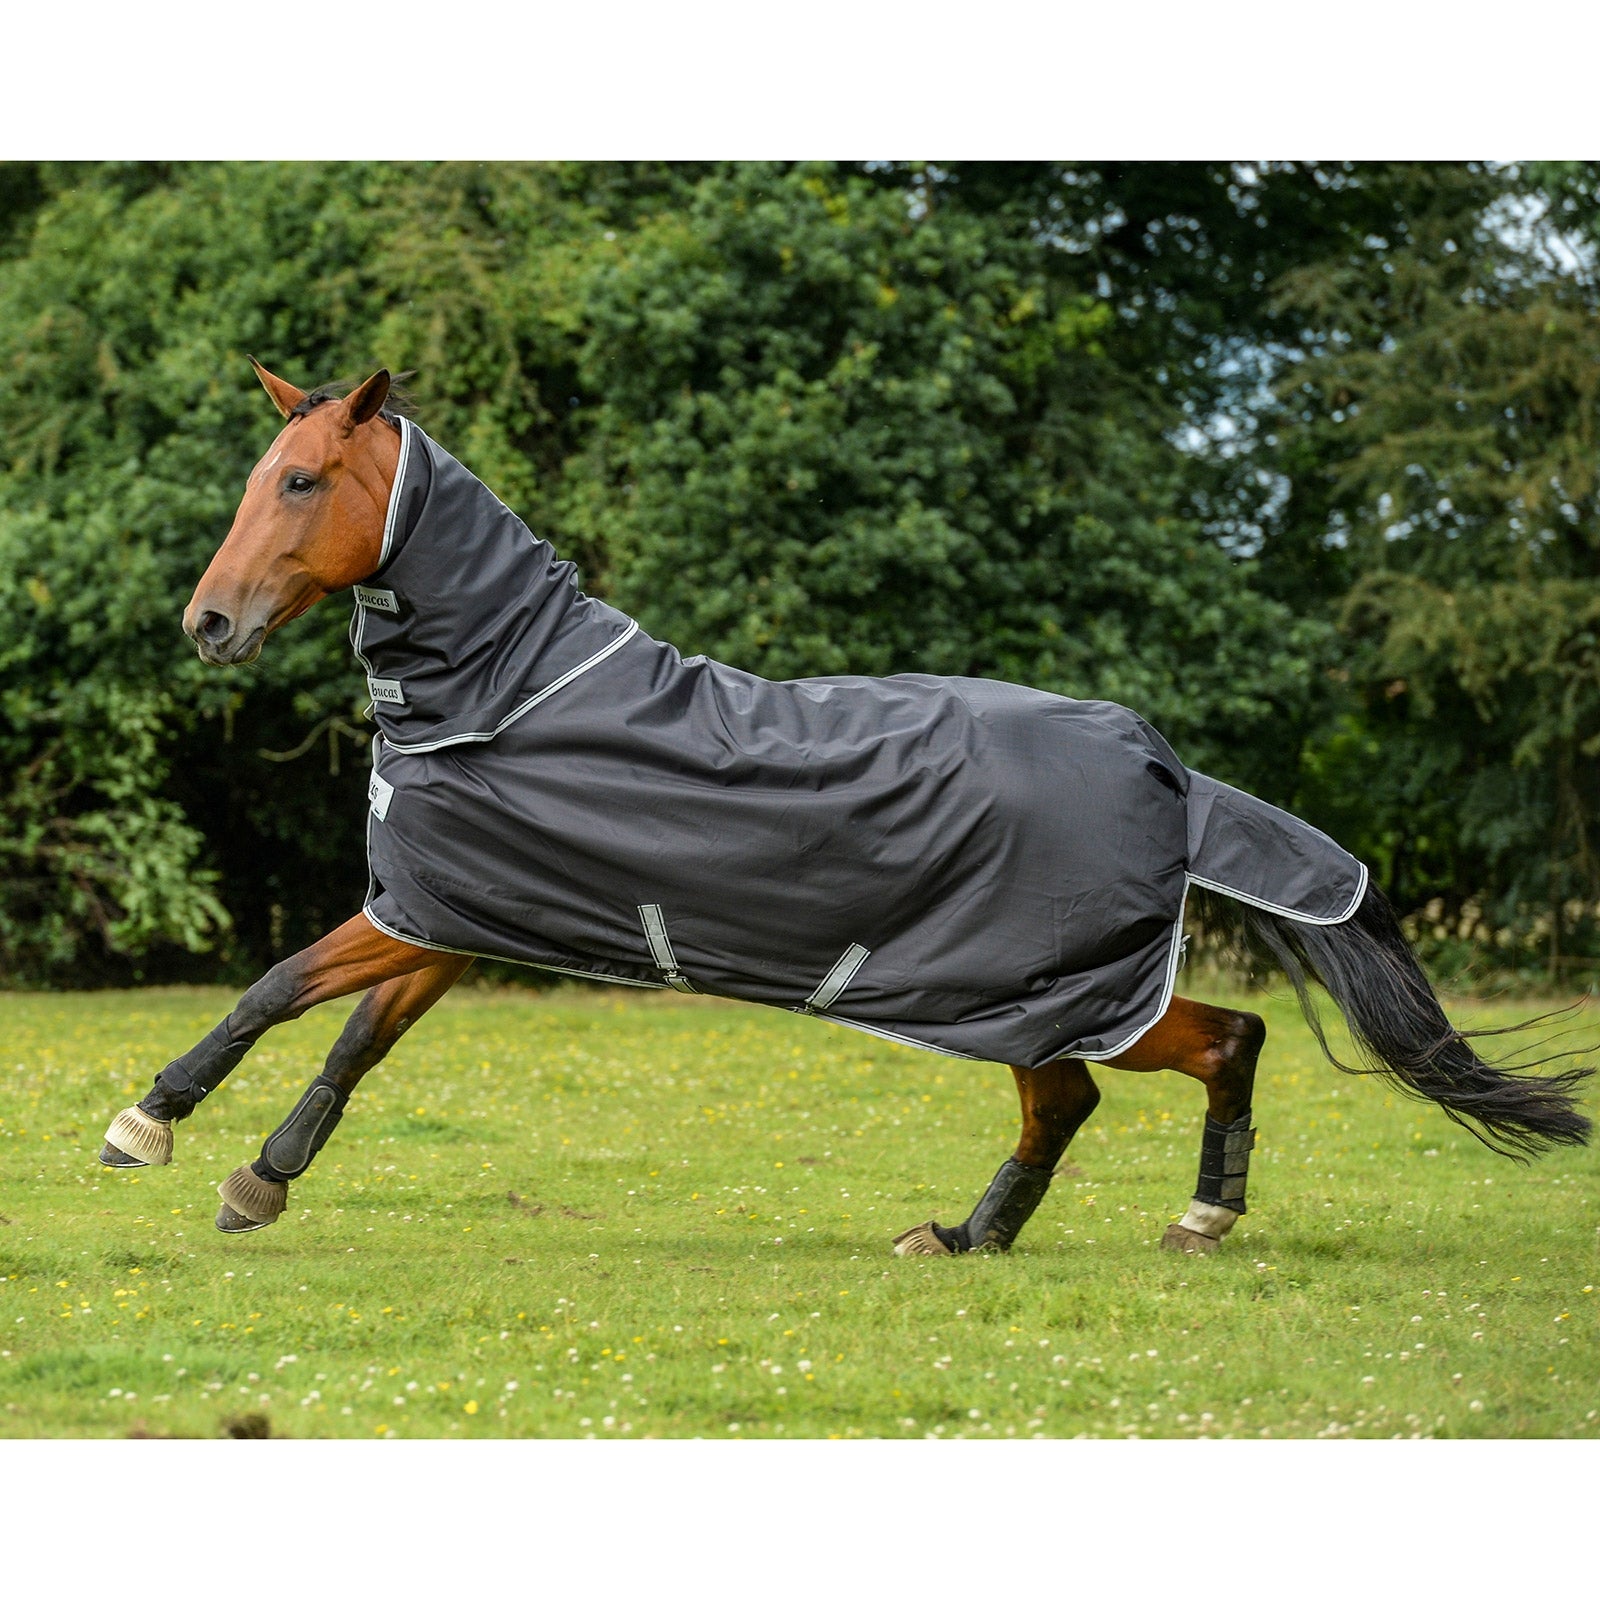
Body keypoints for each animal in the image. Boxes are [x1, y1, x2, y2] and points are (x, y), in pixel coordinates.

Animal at [98, 361, 1592, 1255]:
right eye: (259, 475)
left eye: (301, 480)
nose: (207, 625)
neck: (510, 685)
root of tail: (1162, 765)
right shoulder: (457, 915)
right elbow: (358, 1041)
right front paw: (261, 1178)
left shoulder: (418, 916)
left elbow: (277, 985)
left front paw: (150, 1124)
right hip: (1036, 999)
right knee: (1123, 1080)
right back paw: (999, 1236)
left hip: (1042, 990)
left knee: (1189, 1053)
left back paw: (1139, 1223)